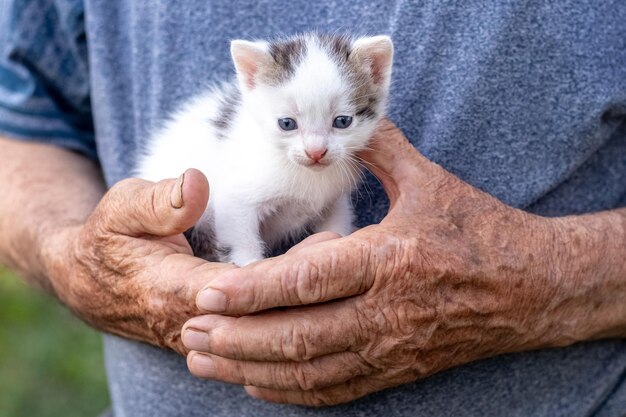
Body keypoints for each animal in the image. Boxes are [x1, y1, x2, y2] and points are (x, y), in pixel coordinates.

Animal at [136, 34, 392, 264]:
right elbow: (240, 236)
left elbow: (336, 222)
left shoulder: (333, 197)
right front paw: (247, 263)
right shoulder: (234, 197)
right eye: (287, 123)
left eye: (342, 121)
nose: (316, 152)